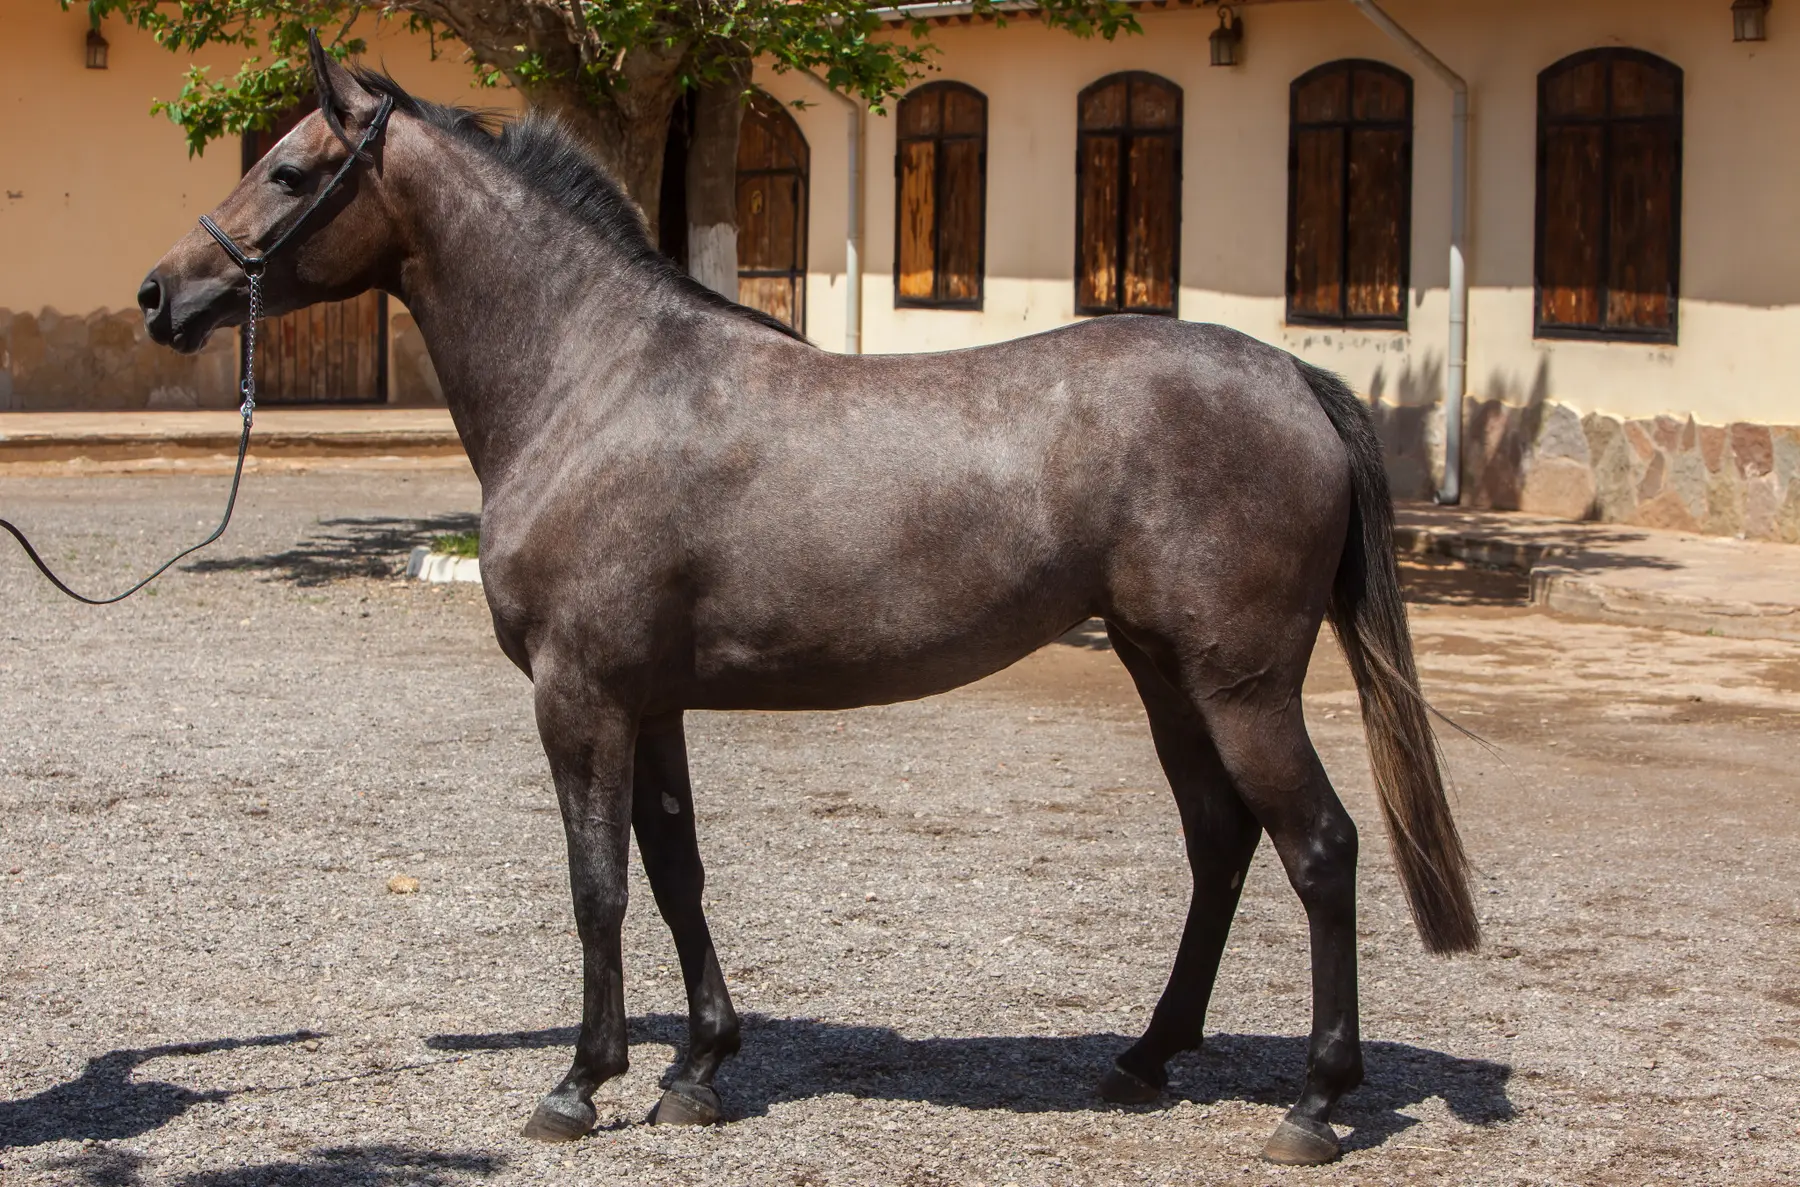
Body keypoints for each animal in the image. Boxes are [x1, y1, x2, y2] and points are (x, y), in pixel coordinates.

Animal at [137, 41, 1477, 1167]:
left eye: (289, 167)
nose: (161, 293)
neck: (595, 383)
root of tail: (1293, 379)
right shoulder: (650, 701)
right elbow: (675, 868)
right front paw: (697, 1067)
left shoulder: (581, 694)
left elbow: (597, 881)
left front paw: (580, 1082)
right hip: (1165, 672)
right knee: (1219, 843)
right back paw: (1146, 1058)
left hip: (1241, 685)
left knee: (1320, 848)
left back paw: (1316, 1101)